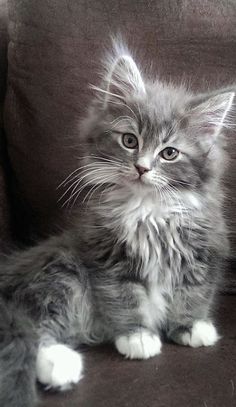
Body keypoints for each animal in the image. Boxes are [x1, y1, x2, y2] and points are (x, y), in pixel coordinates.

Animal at [0, 42, 234, 407]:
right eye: (129, 140)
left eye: (169, 153)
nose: (141, 168)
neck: (149, 209)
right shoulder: (106, 256)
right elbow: (125, 298)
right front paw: (137, 337)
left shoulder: (204, 249)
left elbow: (193, 292)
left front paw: (190, 326)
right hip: (63, 271)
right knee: (33, 325)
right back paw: (60, 364)